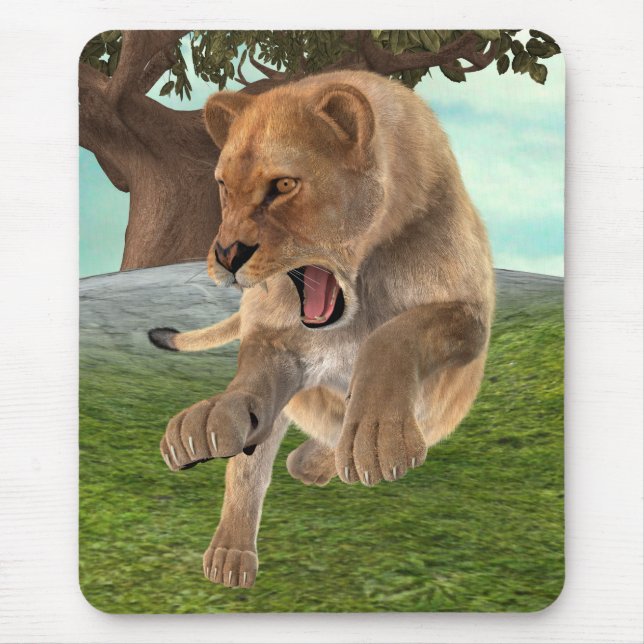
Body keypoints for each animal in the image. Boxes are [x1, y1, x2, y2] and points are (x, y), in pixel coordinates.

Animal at [148, 70, 495, 588]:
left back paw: (315, 460)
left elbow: (393, 335)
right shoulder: (276, 339)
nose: (227, 256)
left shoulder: (469, 315)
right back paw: (230, 554)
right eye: (224, 185)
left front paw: (377, 436)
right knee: (253, 463)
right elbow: (251, 397)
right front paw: (211, 418)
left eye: (284, 184)